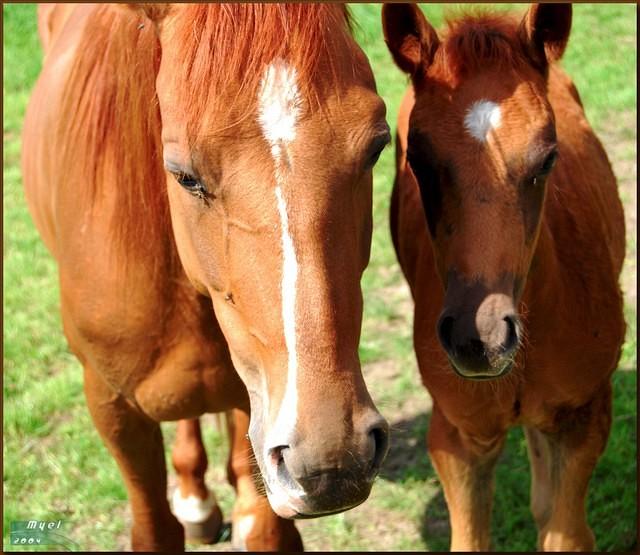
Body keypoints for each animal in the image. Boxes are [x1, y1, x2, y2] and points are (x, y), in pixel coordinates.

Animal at [382, 4, 628, 552]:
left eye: (548, 157)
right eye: (417, 161)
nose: (482, 338)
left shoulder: (585, 417)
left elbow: (565, 535)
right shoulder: (456, 437)